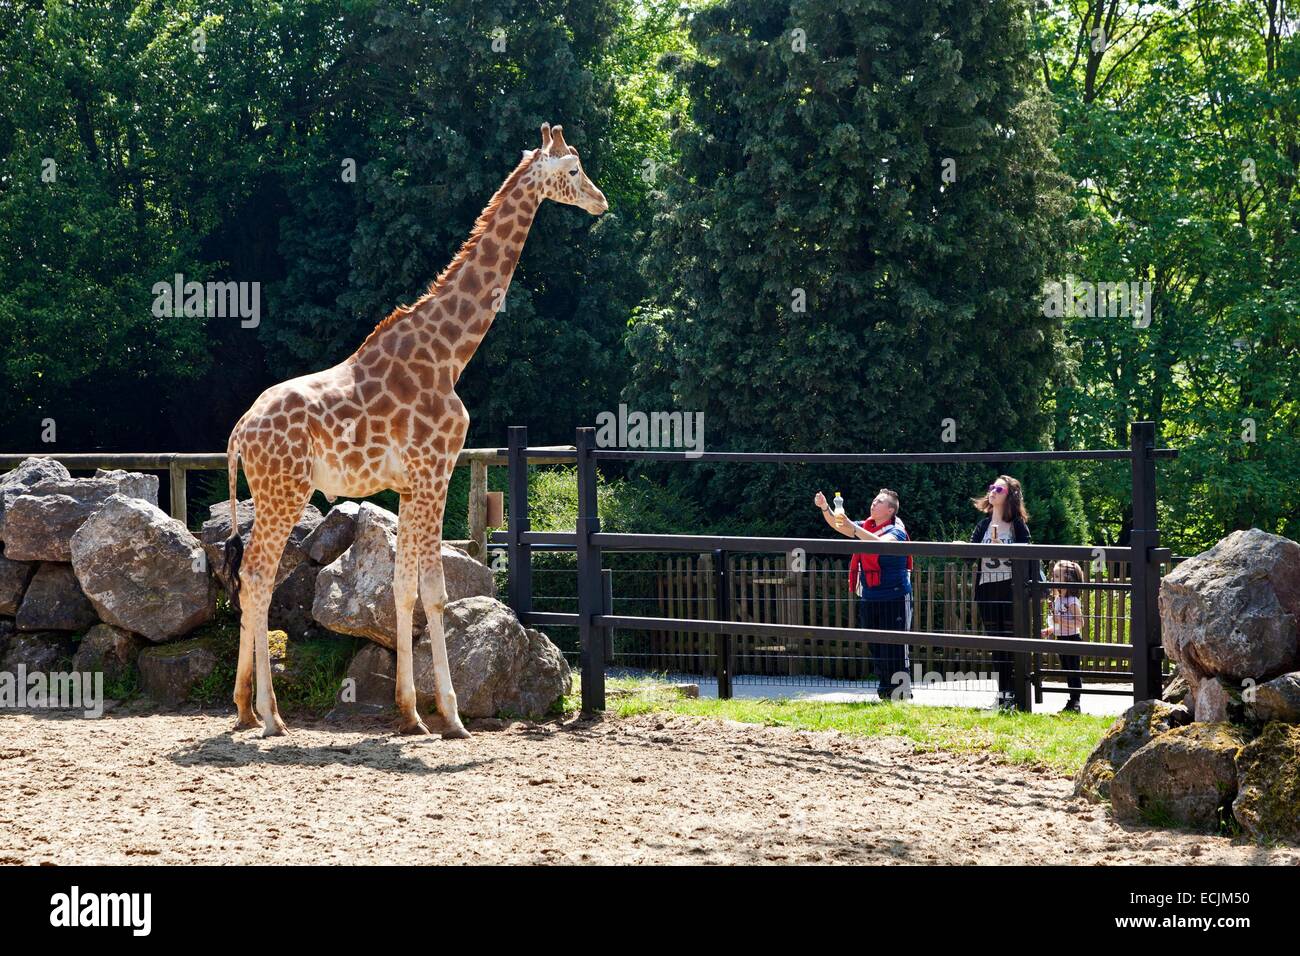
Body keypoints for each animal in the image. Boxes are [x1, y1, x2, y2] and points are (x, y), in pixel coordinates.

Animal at [222, 123, 603, 738]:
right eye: (572, 169)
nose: (600, 201)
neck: (449, 354)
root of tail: (237, 435)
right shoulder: (434, 471)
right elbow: (435, 593)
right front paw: (450, 715)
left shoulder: (409, 483)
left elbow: (401, 590)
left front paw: (410, 714)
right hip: (285, 490)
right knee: (257, 576)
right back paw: (271, 716)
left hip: (268, 491)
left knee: (249, 578)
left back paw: (242, 708)